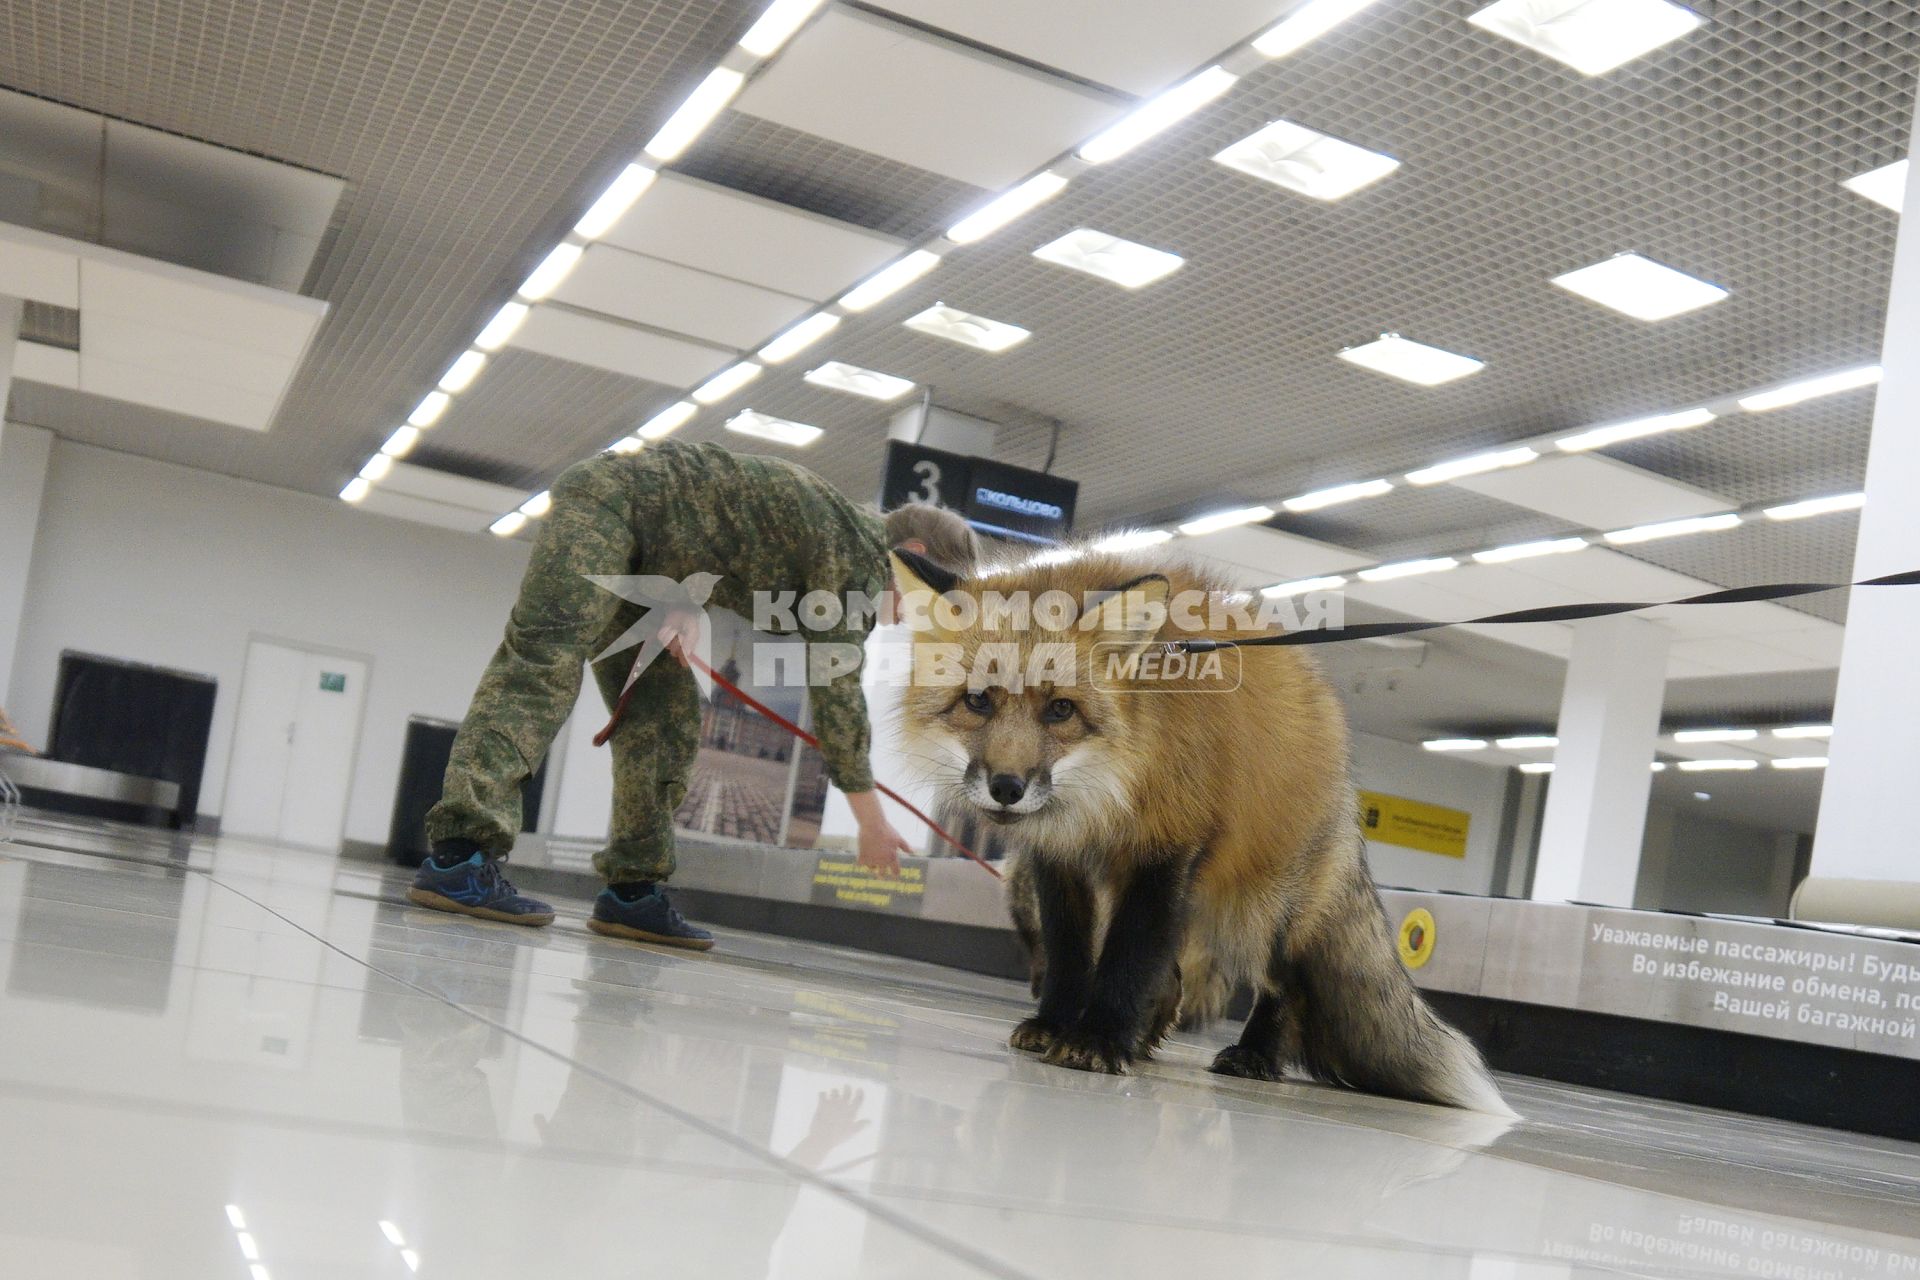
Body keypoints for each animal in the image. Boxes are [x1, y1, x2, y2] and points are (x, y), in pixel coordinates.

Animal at [890, 545, 1505, 1113]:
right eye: (977, 702)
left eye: (1061, 710)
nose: (1007, 787)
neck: (1109, 791)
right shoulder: (1059, 861)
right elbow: (1071, 955)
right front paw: (1059, 1024)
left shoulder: (1167, 847)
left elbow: (1129, 958)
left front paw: (1099, 1039)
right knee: (1175, 979)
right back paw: (1150, 1037)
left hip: (1259, 909)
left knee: (1284, 985)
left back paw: (1254, 1055)